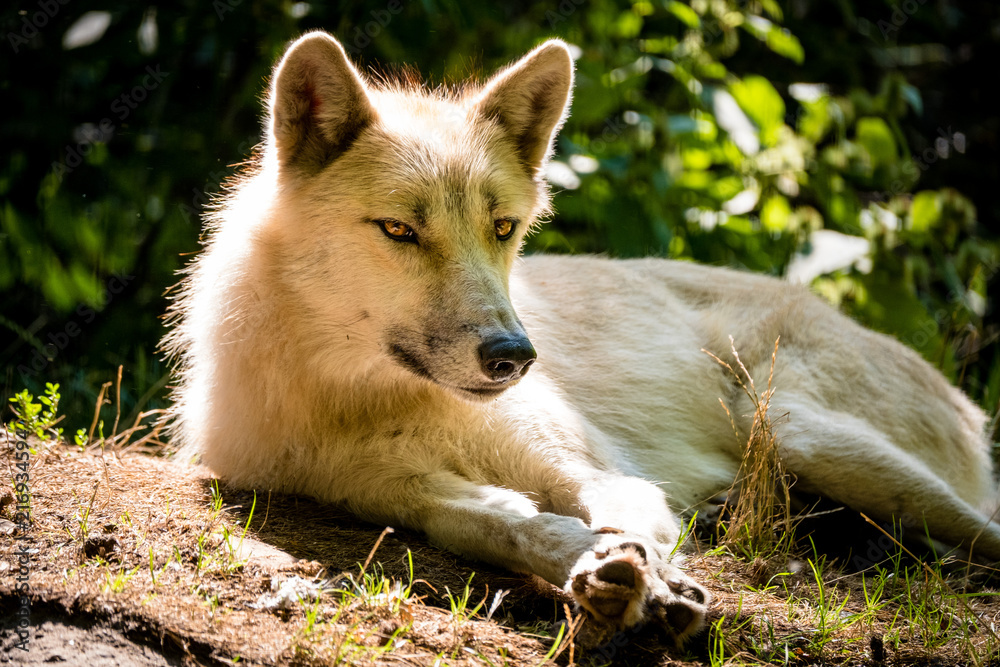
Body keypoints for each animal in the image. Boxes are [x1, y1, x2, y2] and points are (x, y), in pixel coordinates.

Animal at [163, 31, 1000, 644]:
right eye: (400, 231)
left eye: (503, 229)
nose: (514, 356)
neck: (366, 396)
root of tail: (968, 405)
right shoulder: (388, 492)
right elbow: (504, 521)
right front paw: (608, 576)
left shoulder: (598, 467)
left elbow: (619, 513)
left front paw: (651, 580)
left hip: (797, 430)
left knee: (981, 532)